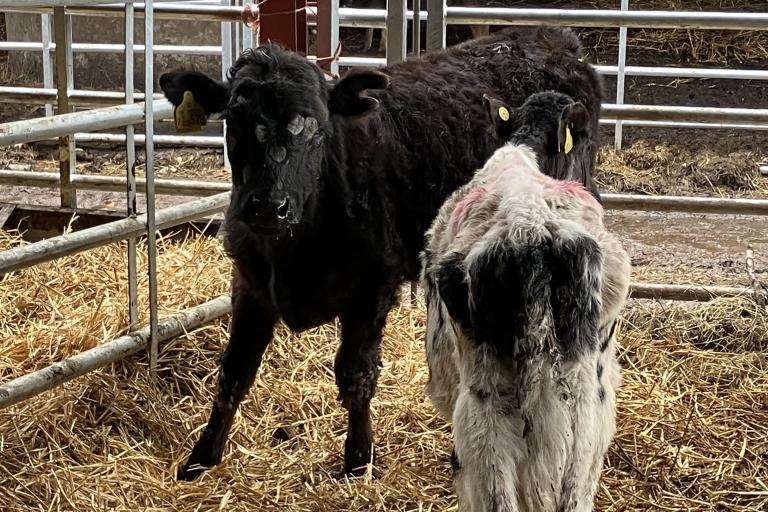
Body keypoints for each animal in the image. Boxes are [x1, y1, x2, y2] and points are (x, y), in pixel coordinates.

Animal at [158, 25, 603, 481]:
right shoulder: (250, 285)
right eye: (234, 120)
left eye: (318, 128)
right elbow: (235, 371)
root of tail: (553, 37)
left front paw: (358, 459)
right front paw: (200, 458)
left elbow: (356, 375)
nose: (268, 206)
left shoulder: (372, 288)